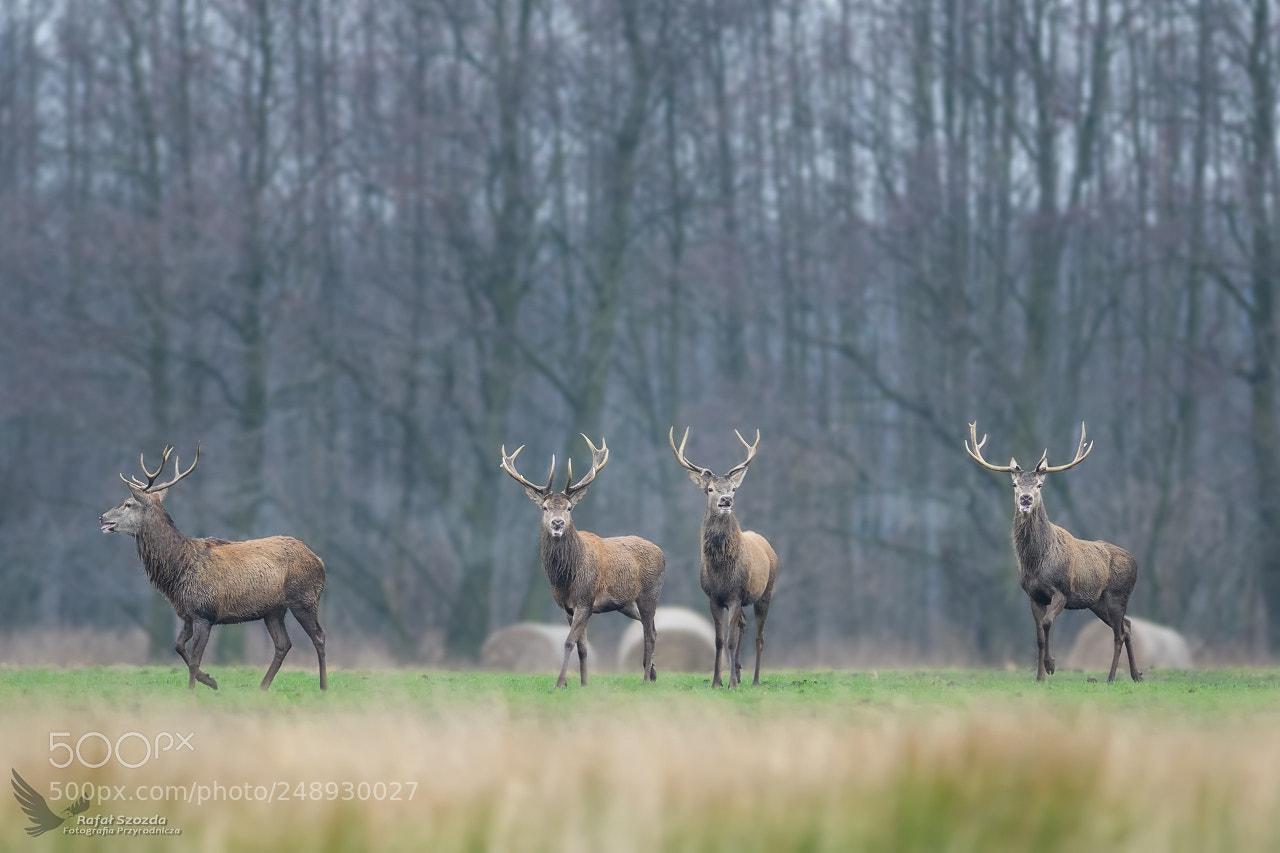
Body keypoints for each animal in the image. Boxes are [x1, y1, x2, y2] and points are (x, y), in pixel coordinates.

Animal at [99, 445, 327, 691]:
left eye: (128, 503)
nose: (102, 517)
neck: (177, 571)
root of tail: (320, 561)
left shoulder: (204, 612)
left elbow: (194, 659)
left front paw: (194, 690)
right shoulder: (188, 614)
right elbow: (178, 646)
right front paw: (210, 680)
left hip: (304, 599)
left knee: (319, 636)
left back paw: (323, 686)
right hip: (274, 610)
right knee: (284, 643)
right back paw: (262, 687)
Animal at [500, 434, 665, 688]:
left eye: (569, 507)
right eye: (545, 507)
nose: (557, 523)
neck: (566, 576)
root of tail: (662, 554)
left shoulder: (585, 600)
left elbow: (569, 642)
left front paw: (560, 682)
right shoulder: (567, 606)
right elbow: (582, 647)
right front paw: (583, 683)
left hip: (650, 593)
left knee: (650, 633)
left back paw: (646, 678)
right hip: (626, 603)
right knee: (649, 627)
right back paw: (654, 673)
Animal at [669, 427, 778, 688]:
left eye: (733, 488)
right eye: (710, 489)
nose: (726, 500)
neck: (722, 570)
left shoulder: (736, 594)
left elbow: (729, 640)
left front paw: (732, 684)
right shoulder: (714, 597)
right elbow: (719, 640)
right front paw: (716, 681)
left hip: (766, 591)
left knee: (759, 637)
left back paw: (755, 680)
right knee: (744, 626)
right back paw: (738, 670)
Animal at [964, 421, 1142, 683]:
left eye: (1039, 485)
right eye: (1015, 484)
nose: (1026, 498)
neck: (1036, 562)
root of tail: (1136, 561)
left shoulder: (1062, 591)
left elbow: (1048, 623)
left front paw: (1051, 665)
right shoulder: (1033, 595)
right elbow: (1038, 635)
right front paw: (1039, 677)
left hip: (1118, 594)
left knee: (1119, 632)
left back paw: (1111, 677)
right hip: (1096, 602)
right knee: (1127, 626)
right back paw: (1137, 674)